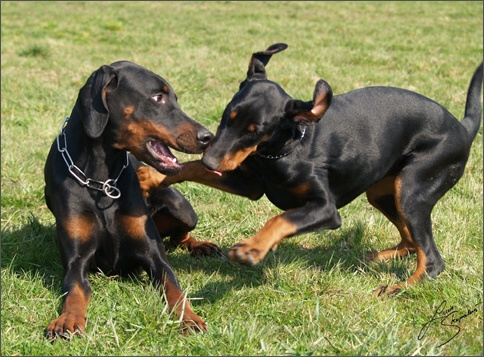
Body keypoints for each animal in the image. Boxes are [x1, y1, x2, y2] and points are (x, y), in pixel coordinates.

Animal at [43, 59, 221, 338]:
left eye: (176, 98)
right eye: (157, 97)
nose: (208, 137)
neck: (101, 180)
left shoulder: (155, 257)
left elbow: (175, 288)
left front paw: (189, 318)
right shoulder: (76, 262)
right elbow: (75, 290)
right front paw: (67, 320)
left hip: (183, 209)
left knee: (181, 235)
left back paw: (200, 245)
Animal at [138, 43, 482, 296]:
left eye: (255, 131)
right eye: (228, 115)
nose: (212, 159)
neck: (282, 150)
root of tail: (463, 128)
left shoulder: (325, 209)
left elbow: (280, 219)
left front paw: (252, 248)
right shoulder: (249, 182)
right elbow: (193, 168)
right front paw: (151, 176)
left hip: (413, 189)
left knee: (433, 259)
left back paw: (398, 288)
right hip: (384, 192)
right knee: (411, 242)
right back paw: (375, 258)